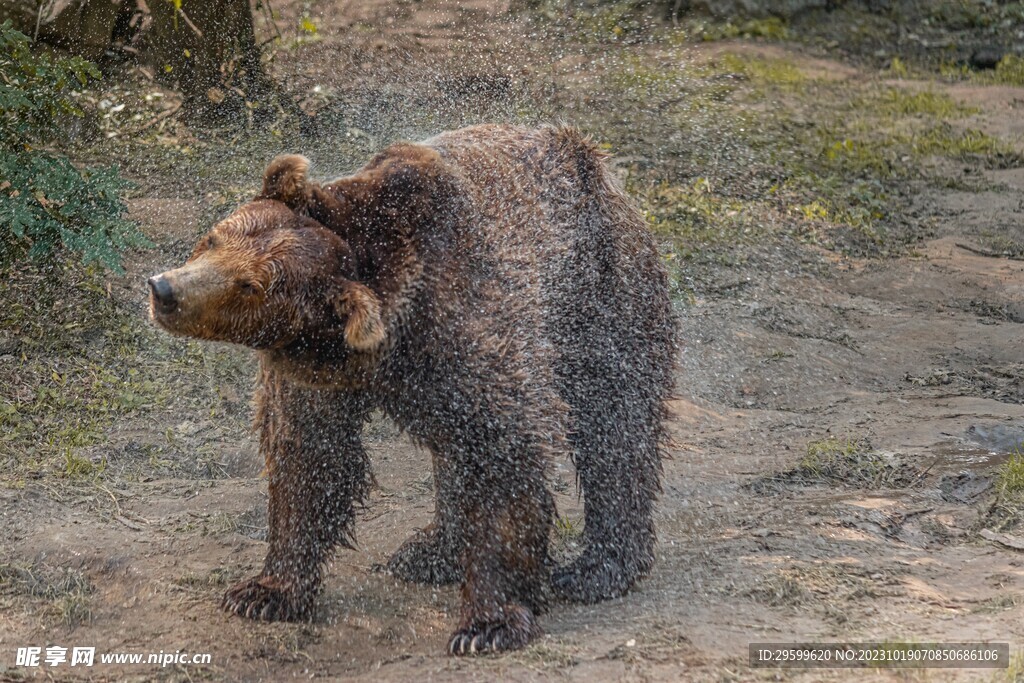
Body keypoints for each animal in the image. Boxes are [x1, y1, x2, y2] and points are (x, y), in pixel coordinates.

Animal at [144, 124, 671, 655]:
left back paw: (598, 567)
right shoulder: (315, 374)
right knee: (453, 452)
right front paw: (265, 591)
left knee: (615, 424)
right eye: (214, 237)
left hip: (600, 297)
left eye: (250, 285)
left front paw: (487, 623)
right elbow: (309, 457)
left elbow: (502, 456)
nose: (164, 289)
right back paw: (431, 551)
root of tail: (596, 162)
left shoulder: (469, 332)